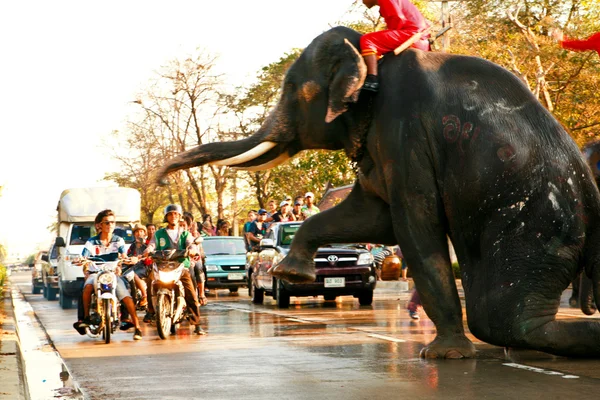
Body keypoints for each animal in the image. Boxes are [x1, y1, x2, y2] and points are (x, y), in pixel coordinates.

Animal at [158, 26, 600, 358]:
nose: (161, 182)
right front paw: (291, 274)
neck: (372, 67)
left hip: (535, 222)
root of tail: (591, 195)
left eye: (293, 89)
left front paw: (441, 355)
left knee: (498, 316)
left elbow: (414, 225)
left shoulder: (404, 134)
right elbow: (372, 218)